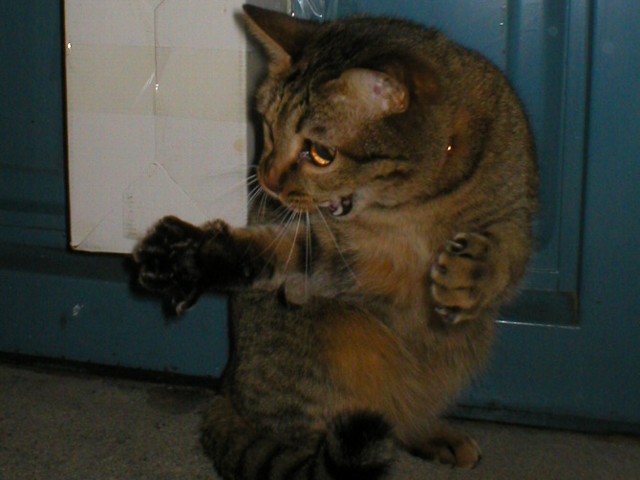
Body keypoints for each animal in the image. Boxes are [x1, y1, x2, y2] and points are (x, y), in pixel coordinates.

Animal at [133, 4, 538, 479]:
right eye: (268, 127)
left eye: (320, 154)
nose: (267, 180)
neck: (416, 203)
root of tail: (226, 389)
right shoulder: (340, 254)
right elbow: (272, 252)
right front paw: (195, 258)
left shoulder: (518, 215)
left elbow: (507, 251)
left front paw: (472, 274)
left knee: (404, 414)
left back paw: (435, 434)